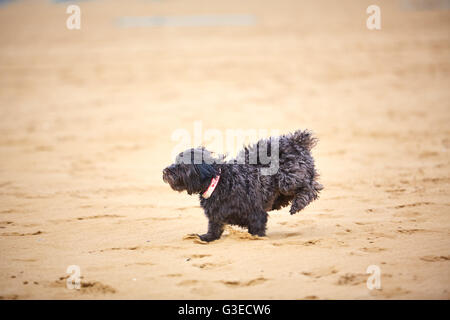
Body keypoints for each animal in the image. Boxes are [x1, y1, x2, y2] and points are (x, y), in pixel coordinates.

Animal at [163, 129, 322, 241]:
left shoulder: (256, 214)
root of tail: (295, 141)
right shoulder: (216, 216)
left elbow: (257, 229)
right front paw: (206, 238)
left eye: (182, 166)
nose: (165, 171)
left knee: (311, 186)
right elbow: (214, 229)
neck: (218, 182)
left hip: (288, 179)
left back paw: (298, 204)